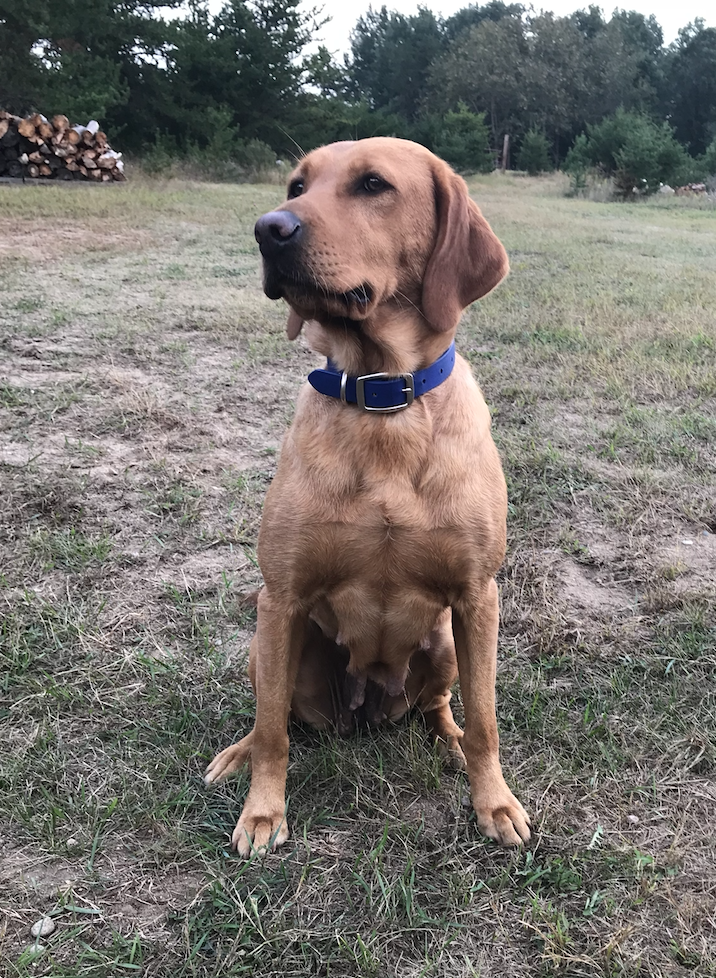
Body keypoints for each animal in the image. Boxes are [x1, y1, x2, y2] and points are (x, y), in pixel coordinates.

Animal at [204, 135, 528, 856]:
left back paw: (451, 742)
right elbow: (274, 731)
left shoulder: (478, 597)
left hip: (443, 645)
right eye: (296, 186)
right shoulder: (282, 596)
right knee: (275, 719)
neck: (383, 403)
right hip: (271, 645)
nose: (269, 229)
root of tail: (371, 704)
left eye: (374, 184)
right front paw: (262, 812)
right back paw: (237, 754)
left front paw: (494, 802)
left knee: (441, 707)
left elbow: (488, 718)